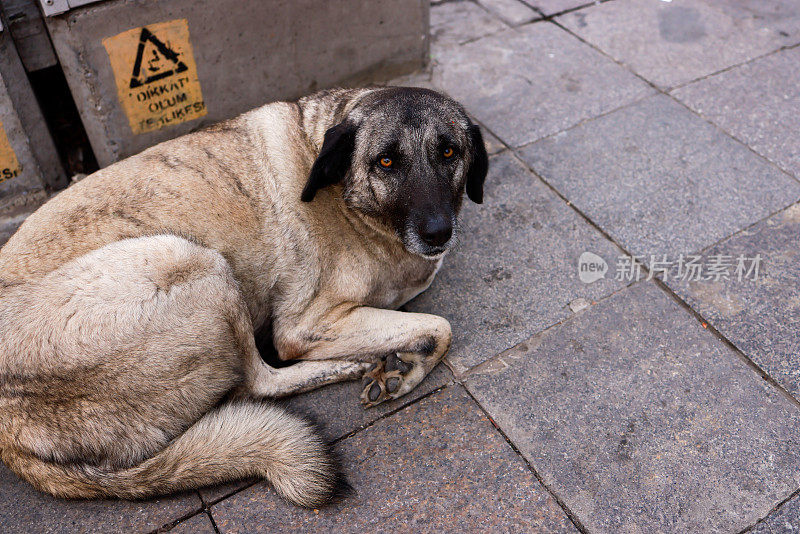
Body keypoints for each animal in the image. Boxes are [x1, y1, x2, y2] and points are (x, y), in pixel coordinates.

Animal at [0, 86, 488, 508]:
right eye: (386, 161)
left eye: (449, 152)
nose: (438, 232)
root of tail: (10, 440)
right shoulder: (304, 326)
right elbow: (440, 327)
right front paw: (406, 370)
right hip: (192, 260)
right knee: (260, 381)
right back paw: (347, 365)